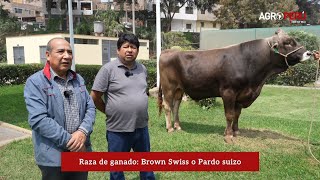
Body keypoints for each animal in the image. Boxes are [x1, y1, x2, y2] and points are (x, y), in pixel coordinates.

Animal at [158, 28, 312, 143]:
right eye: (288, 42)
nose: (309, 53)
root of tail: (168, 51)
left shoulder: (241, 93)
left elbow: (237, 114)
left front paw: (236, 131)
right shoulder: (228, 92)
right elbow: (230, 114)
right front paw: (228, 135)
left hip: (179, 89)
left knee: (176, 106)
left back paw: (178, 126)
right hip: (169, 88)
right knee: (167, 106)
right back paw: (170, 128)